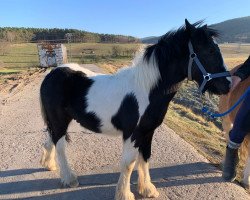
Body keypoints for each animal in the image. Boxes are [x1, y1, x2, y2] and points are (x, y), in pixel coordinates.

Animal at [39, 19, 232, 200]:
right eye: (210, 51)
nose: (228, 85)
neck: (147, 89)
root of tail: (51, 74)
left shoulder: (147, 132)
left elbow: (145, 158)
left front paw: (147, 189)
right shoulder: (133, 133)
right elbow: (129, 163)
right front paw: (125, 194)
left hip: (58, 120)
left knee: (51, 139)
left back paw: (49, 164)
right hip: (59, 120)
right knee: (60, 145)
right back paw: (69, 178)